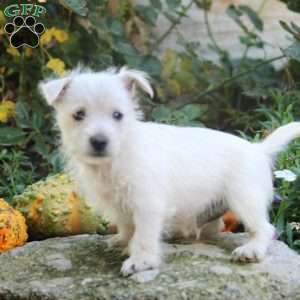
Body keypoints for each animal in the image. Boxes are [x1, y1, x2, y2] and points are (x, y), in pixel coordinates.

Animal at [39, 67, 300, 276]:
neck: (120, 154)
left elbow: (144, 236)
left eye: (118, 115)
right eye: (78, 115)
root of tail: (258, 149)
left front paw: (140, 261)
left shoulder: (148, 205)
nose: (99, 141)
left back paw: (251, 249)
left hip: (245, 198)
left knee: (264, 228)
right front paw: (123, 241)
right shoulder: (119, 205)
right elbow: (127, 227)